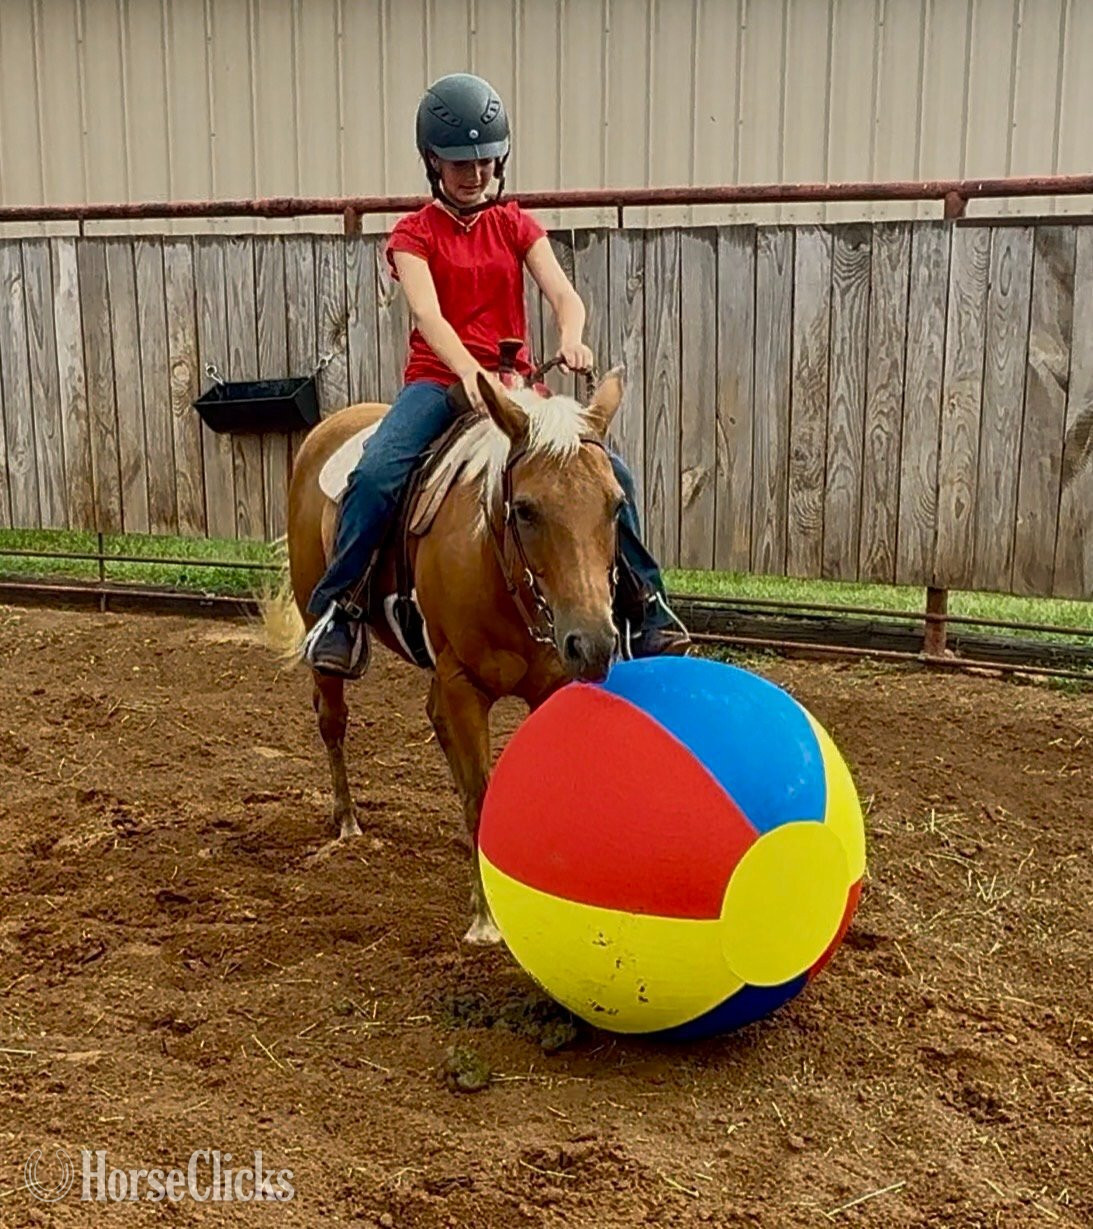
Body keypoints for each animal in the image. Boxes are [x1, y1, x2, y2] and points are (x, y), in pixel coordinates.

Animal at [265, 369, 626, 943]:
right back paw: (346, 823)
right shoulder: (463, 684)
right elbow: (480, 793)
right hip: (318, 622)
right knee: (332, 719)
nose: (592, 642)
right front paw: (486, 920)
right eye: (526, 509)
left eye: (615, 506)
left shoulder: (544, 686)